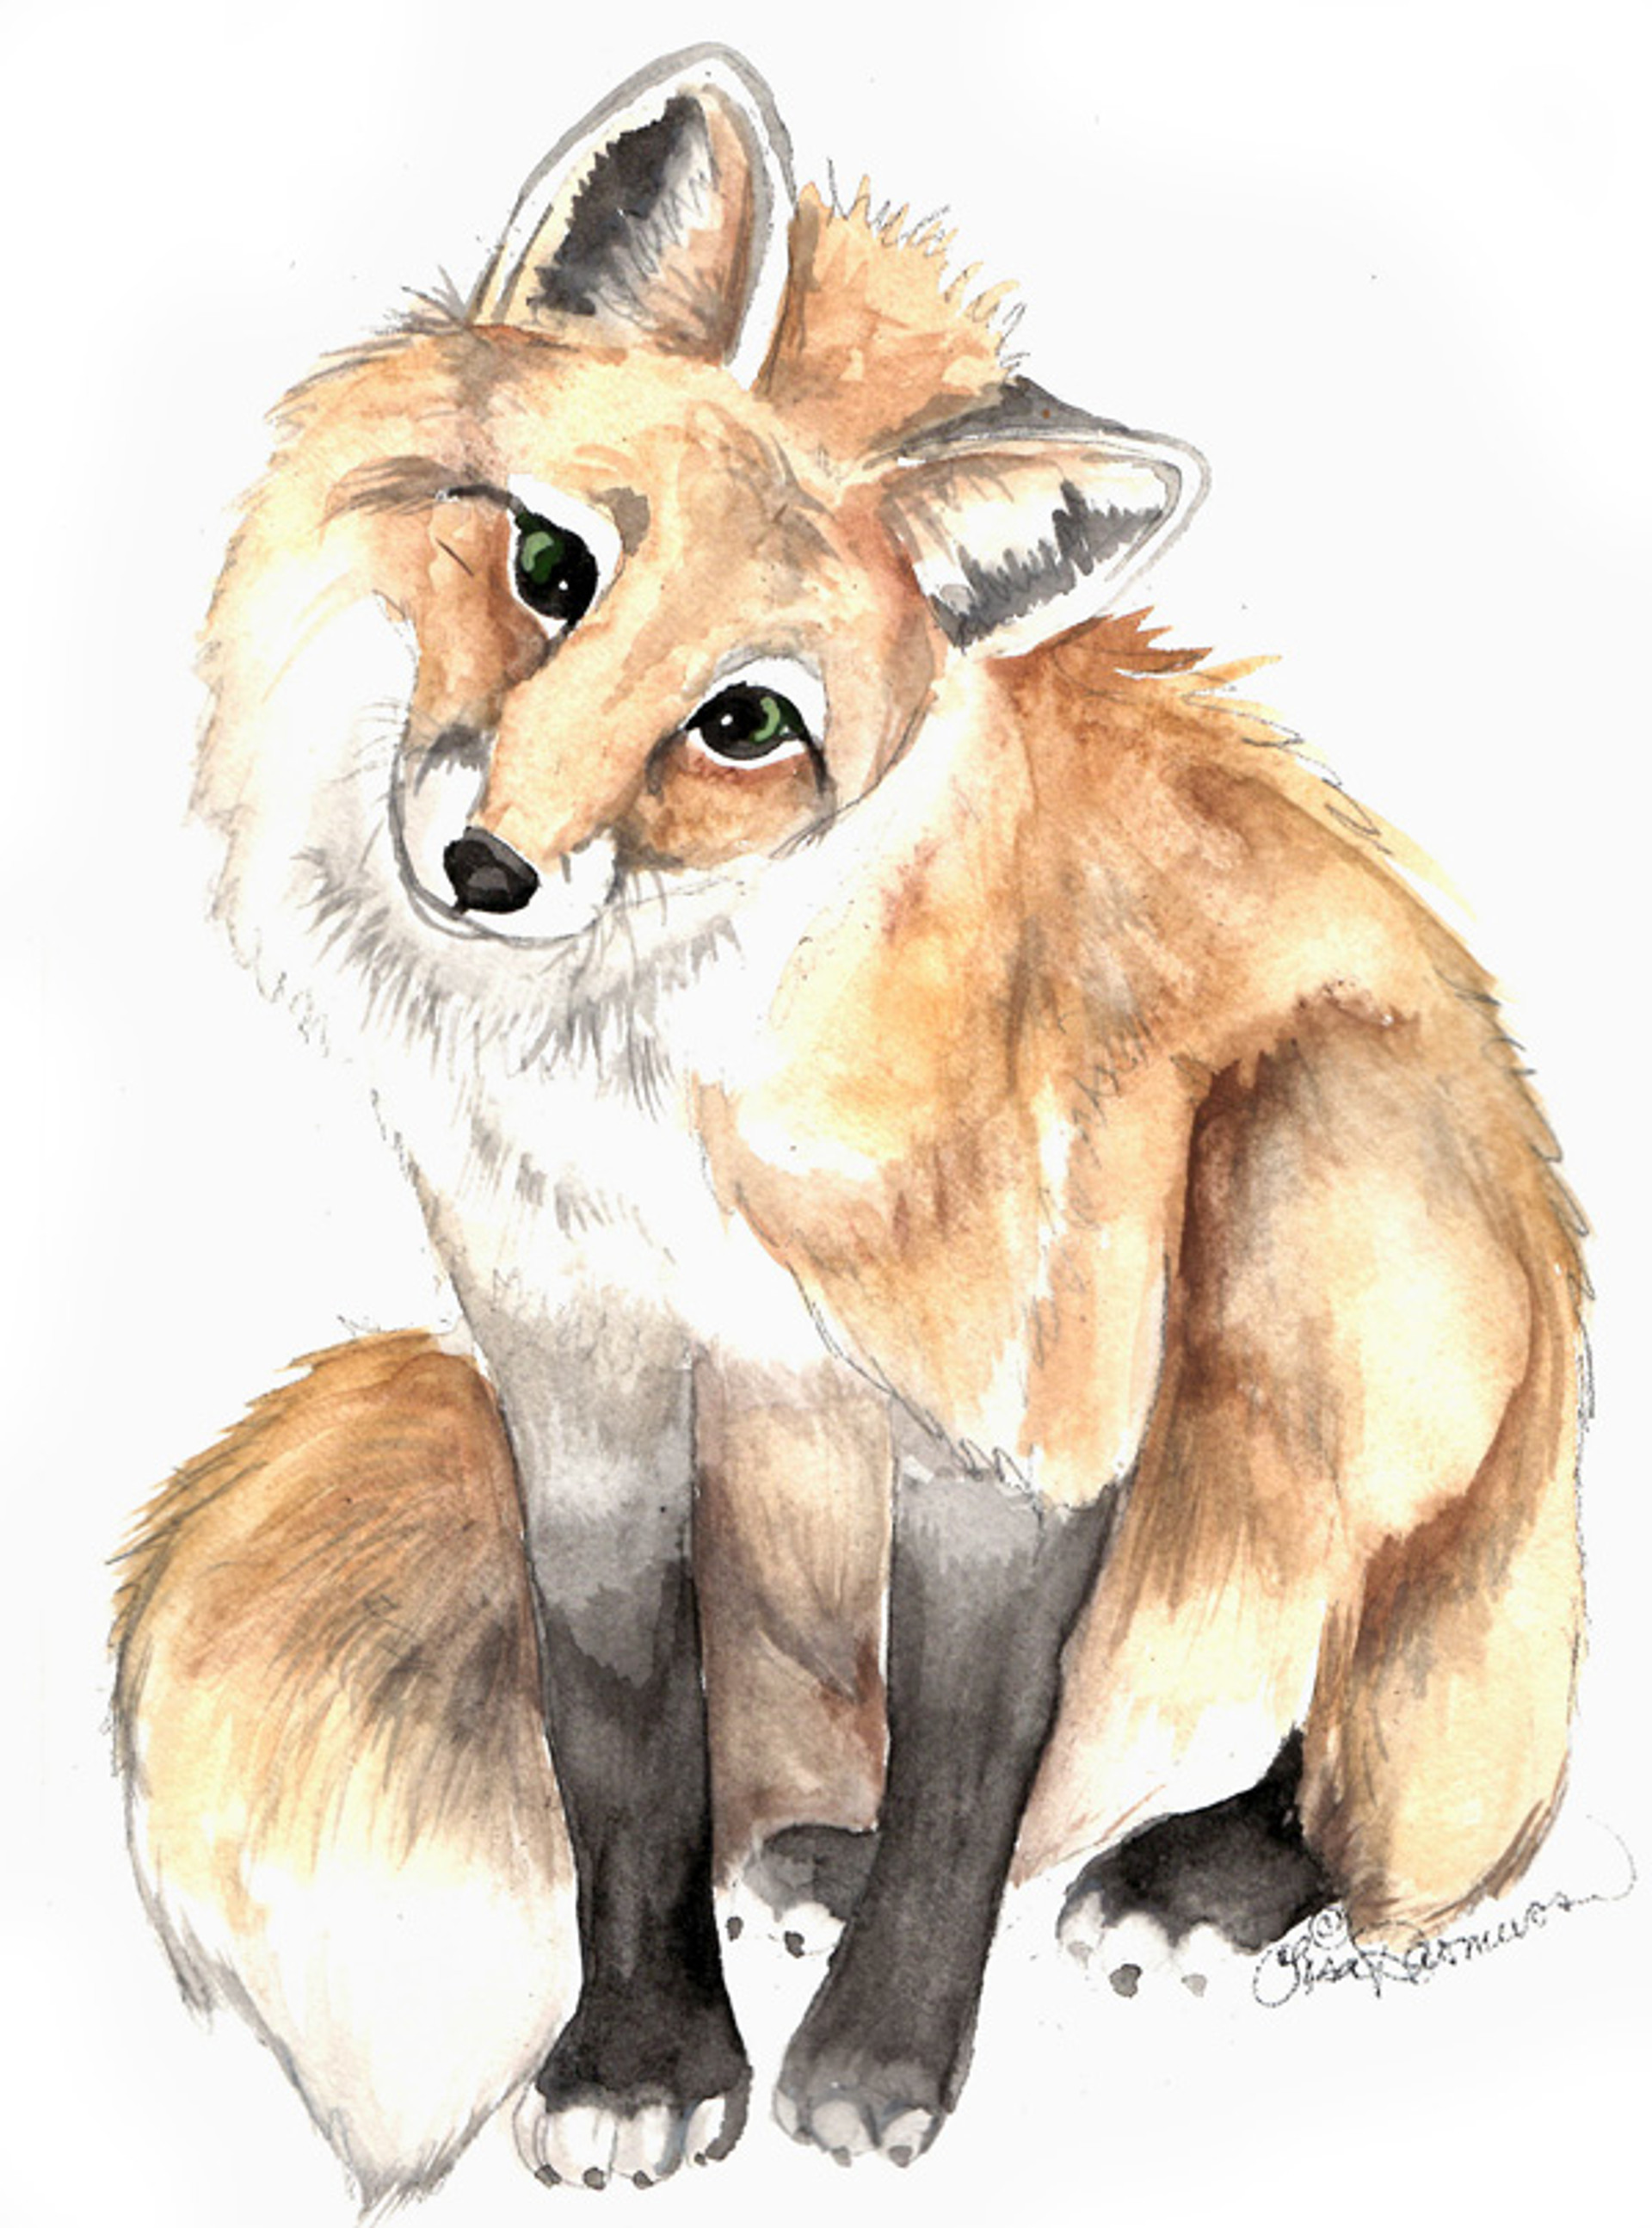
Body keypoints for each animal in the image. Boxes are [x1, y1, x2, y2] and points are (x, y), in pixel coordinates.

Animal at [112, 41, 1586, 2210]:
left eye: (743, 723)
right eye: (551, 570)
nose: (488, 868)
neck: (654, 1098)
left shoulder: (1030, 1399)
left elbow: (971, 1760)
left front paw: (880, 2060)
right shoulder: (572, 1368)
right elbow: (626, 1750)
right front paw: (647, 2053)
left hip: (1318, 1166)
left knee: (1365, 1784)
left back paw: (1212, 1873)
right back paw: (821, 1847)